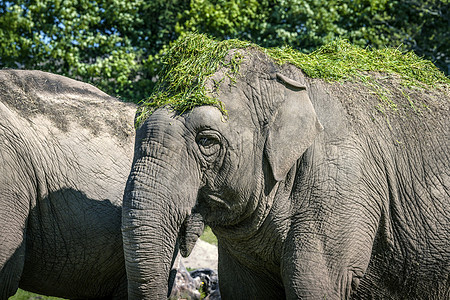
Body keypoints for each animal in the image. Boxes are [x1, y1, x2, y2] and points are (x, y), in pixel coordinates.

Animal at [122, 41, 450, 298]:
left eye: (206, 141)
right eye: (136, 123)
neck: (287, 74)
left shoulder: (343, 184)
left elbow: (313, 284)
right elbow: (243, 289)